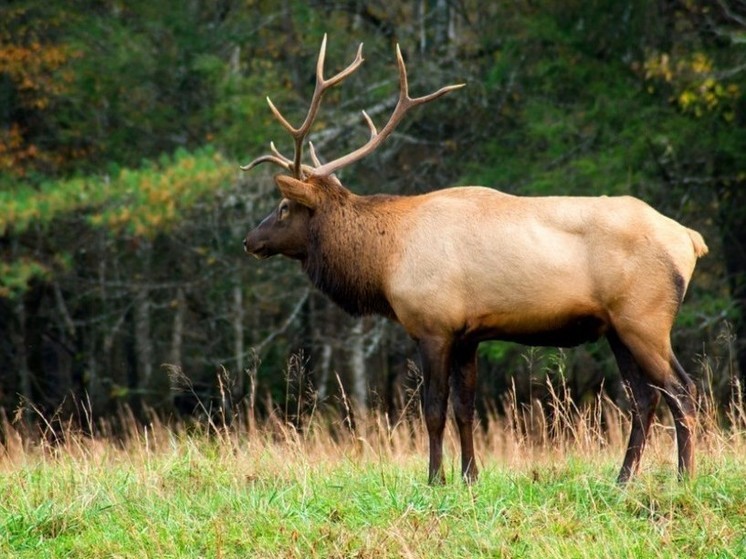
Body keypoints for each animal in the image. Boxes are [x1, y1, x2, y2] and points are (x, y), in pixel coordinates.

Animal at [241, 35, 708, 484]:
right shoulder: (468, 334)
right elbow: (465, 409)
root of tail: (690, 240)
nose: (249, 241)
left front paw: (435, 479)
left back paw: (683, 477)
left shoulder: (433, 326)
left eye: (283, 207)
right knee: (644, 398)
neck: (385, 260)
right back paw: (623, 479)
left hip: (645, 319)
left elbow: (433, 409)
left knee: (682, 390)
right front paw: (470, 476)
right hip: (616, 328)